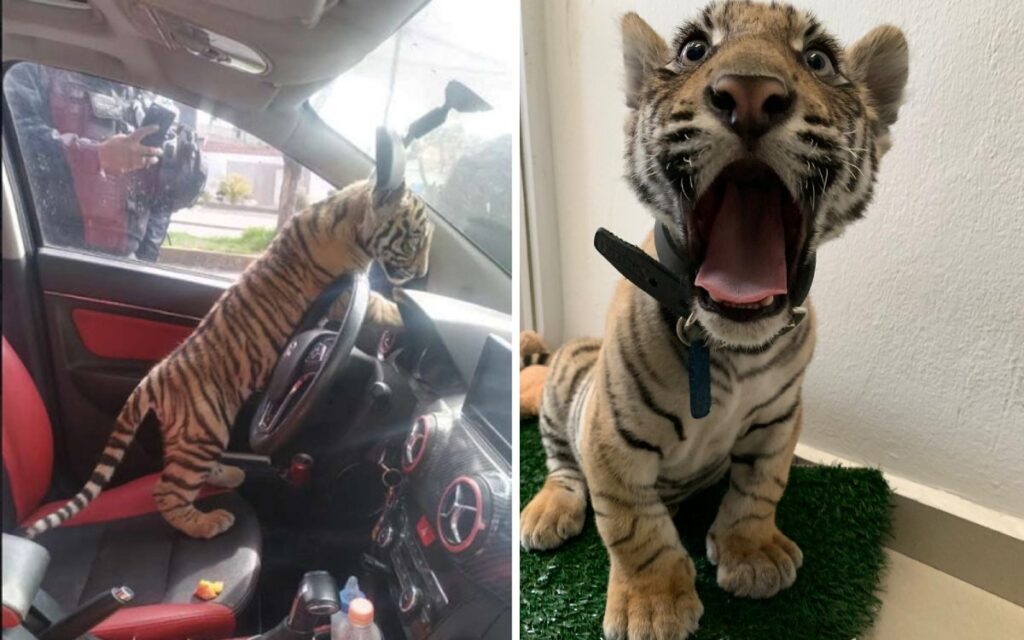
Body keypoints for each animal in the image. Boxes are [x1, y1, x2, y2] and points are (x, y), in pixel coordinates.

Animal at [23, 177, 433, 540]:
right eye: (414, 238)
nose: (423, 273)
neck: (347, 214)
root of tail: (154, 376)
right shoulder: (346, 294)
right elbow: (381, 304)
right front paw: (418, 318)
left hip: (190, 435)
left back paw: (229, 474)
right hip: (205, 429)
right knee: (166, 492)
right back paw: (208, 523)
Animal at [519, 2, 908, 639]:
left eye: (818, 59)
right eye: (696, 51)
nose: (749, 94)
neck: (727, 346)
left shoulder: (779, 418)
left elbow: (760, 487)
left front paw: (753, 554)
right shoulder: (609, 437)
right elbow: (633, 525)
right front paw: (653, 607)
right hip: (565, 382)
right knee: (562, 466)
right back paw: (547, 513)